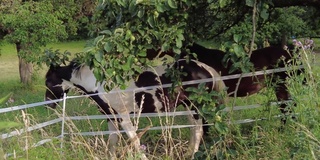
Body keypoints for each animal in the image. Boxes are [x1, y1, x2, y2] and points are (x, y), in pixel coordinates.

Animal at [44, 58, 225, 159]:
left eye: (48, 81)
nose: (48, 104)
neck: (100, 84)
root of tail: (205, 68)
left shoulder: (124, 118)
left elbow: (135, 141)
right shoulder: (111, 118)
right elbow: (113, 142)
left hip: (195, 107)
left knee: (198, 129)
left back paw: (192, 155)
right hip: (188, 106)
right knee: (194, 128)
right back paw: (188, 154)